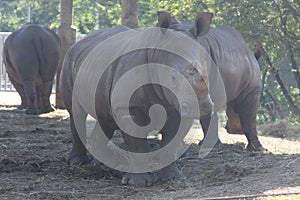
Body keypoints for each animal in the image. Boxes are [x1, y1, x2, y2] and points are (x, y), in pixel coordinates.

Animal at [59, 14, 214, 186]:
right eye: (173, 77)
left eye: (207, 75)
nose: (203, 107)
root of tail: (79, 43)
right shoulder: (129, 107)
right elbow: (137, 144)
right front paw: (137, 183)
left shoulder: (178, 106)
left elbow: (171, 143)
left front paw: (173, 178)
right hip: (69, 60)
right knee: (76, 113)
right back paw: (78, 162)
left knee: (104, 116)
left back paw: (104, 163)